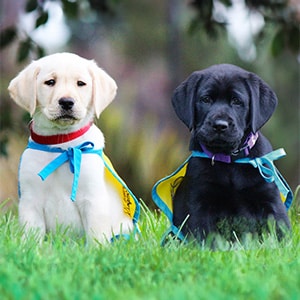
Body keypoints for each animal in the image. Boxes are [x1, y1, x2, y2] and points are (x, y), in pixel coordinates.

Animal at [8, 52, 139, 244]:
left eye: (81, 83)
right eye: (50, 82)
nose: (67, 102)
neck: (62, 145)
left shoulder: (93, 200)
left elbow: (95, 235)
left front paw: (97, 251)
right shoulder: (30, 200)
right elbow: (32, 235)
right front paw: (30, 248)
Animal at [171, 63, 290, 244]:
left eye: (236, 101)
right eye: (206, 99)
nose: (220, 125)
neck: (231, 160)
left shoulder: (271, 200)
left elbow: (280, 231)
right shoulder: (200, 201)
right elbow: (205, 235)